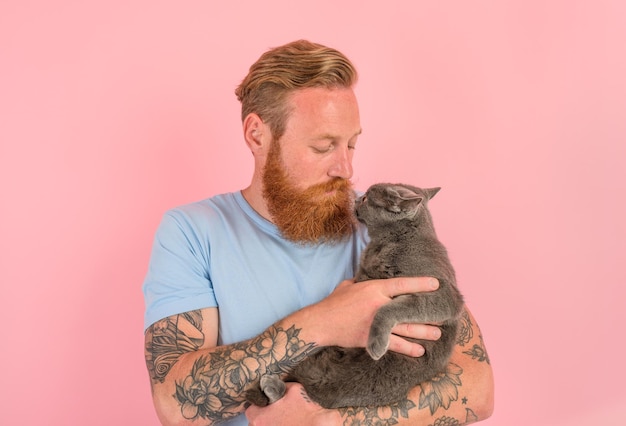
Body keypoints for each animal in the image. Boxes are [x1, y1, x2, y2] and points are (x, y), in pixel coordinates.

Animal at [246, 183, 460, 410]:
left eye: (366, 199)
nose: (356, 199)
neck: (389, 241)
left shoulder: (443, 295)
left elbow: (388, 309)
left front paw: (376, 345)